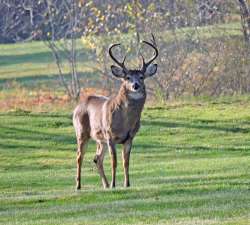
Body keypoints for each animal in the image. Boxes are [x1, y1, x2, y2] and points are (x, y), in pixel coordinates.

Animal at [72, 34, 158, 190]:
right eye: (127, 77)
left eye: (141, 77)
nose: (135, 85)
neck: (124, 122)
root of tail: (77, 106)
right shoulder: (110, 135)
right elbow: (114, 162)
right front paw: (114, 184)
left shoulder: (129, 138)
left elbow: (126, 162)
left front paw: (127, 184)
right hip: (81, 132)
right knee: (79, 157)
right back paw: (79, 185)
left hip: (100, 139)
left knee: (97, 158)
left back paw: (105, 185)